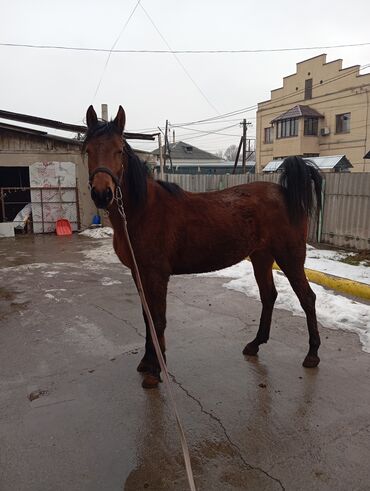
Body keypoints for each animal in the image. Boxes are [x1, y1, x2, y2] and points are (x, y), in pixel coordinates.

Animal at [82, 105, 322, 390]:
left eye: (119, 150)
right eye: (88, 150)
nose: (102, 194)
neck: (142, 211)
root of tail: (285, 193)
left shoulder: (156, 275)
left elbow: (158, 318)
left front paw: (155, 370)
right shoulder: (138, 273)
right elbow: (146, 316)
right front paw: (148, 362)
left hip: (290, 257)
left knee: (307, 298)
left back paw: (312, 354)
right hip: (261, 257)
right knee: (269, 296)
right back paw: (255, 344)